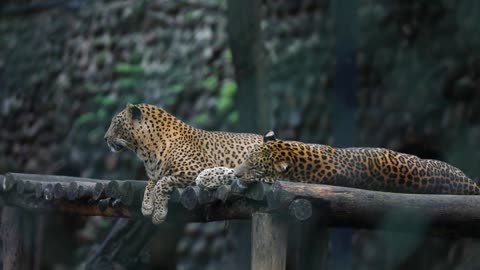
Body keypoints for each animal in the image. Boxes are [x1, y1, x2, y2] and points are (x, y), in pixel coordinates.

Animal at [104, 103, 262, 224]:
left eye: (116, 123)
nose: (105, 138)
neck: (146, 151)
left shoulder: (197, 170)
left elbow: (162, 182)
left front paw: (158, 213)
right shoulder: (155, 174)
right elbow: (151, 182)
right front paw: (147, 205)